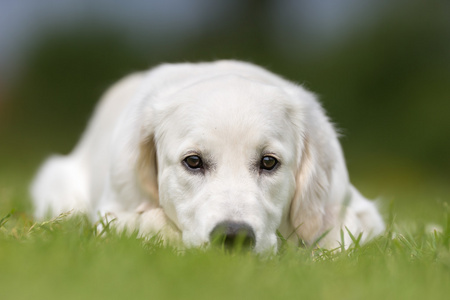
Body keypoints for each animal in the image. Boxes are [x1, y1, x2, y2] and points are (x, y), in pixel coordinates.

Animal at [30, 60, 384, 253]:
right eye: (193, 161)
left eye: (269, 162)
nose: (234, 237)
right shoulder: (112, 212)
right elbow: (150, 223)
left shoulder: (360, 212)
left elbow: (337, 231)